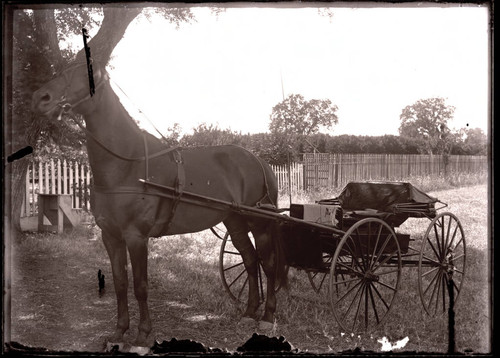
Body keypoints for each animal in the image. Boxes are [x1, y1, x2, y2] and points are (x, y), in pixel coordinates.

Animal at [31, 60, 288, 350]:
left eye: (85, 71)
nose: (40, 98)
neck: (128, 163)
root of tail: (260, 161)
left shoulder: (136, 236)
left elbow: (140, 285)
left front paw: (143, 336)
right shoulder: (111, 236)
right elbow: (120, 283)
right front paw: (119, 333)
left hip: (260, 223)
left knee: (268, 263)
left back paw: (267, 317)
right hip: (234, 220)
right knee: (250, 259)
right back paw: (249, 313)